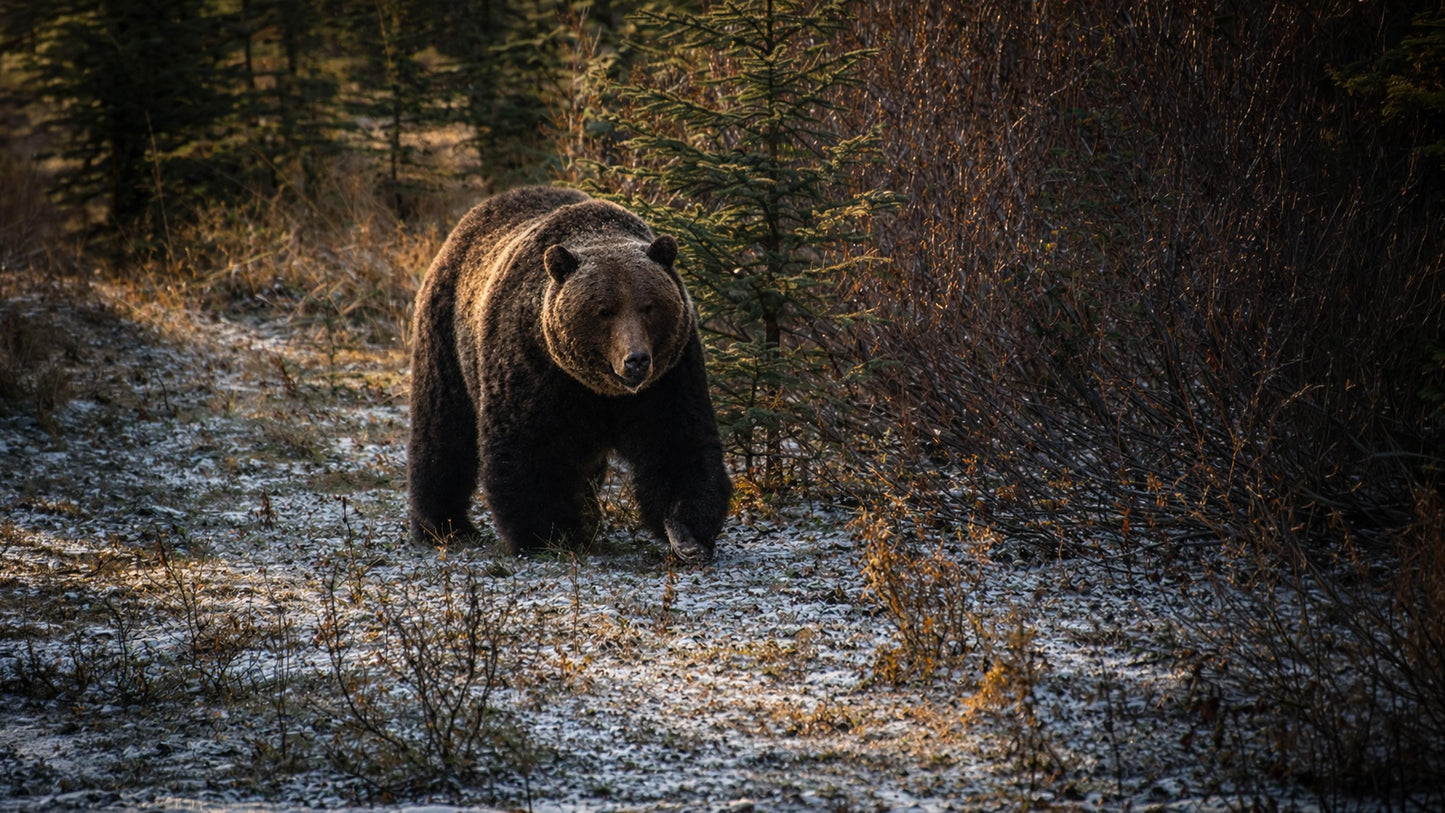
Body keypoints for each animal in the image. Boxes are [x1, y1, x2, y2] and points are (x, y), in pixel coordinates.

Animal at [407, 186, 732, 562]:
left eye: (648, 307)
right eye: (604, 311)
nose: (636, 360)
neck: (601, 390)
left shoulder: (669, 375)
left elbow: (677, 443)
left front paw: (687, 534)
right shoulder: (535, 368)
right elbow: (530, 450)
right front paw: (548, 533)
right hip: (446, 334)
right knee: (443, 430)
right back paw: (444, 526)